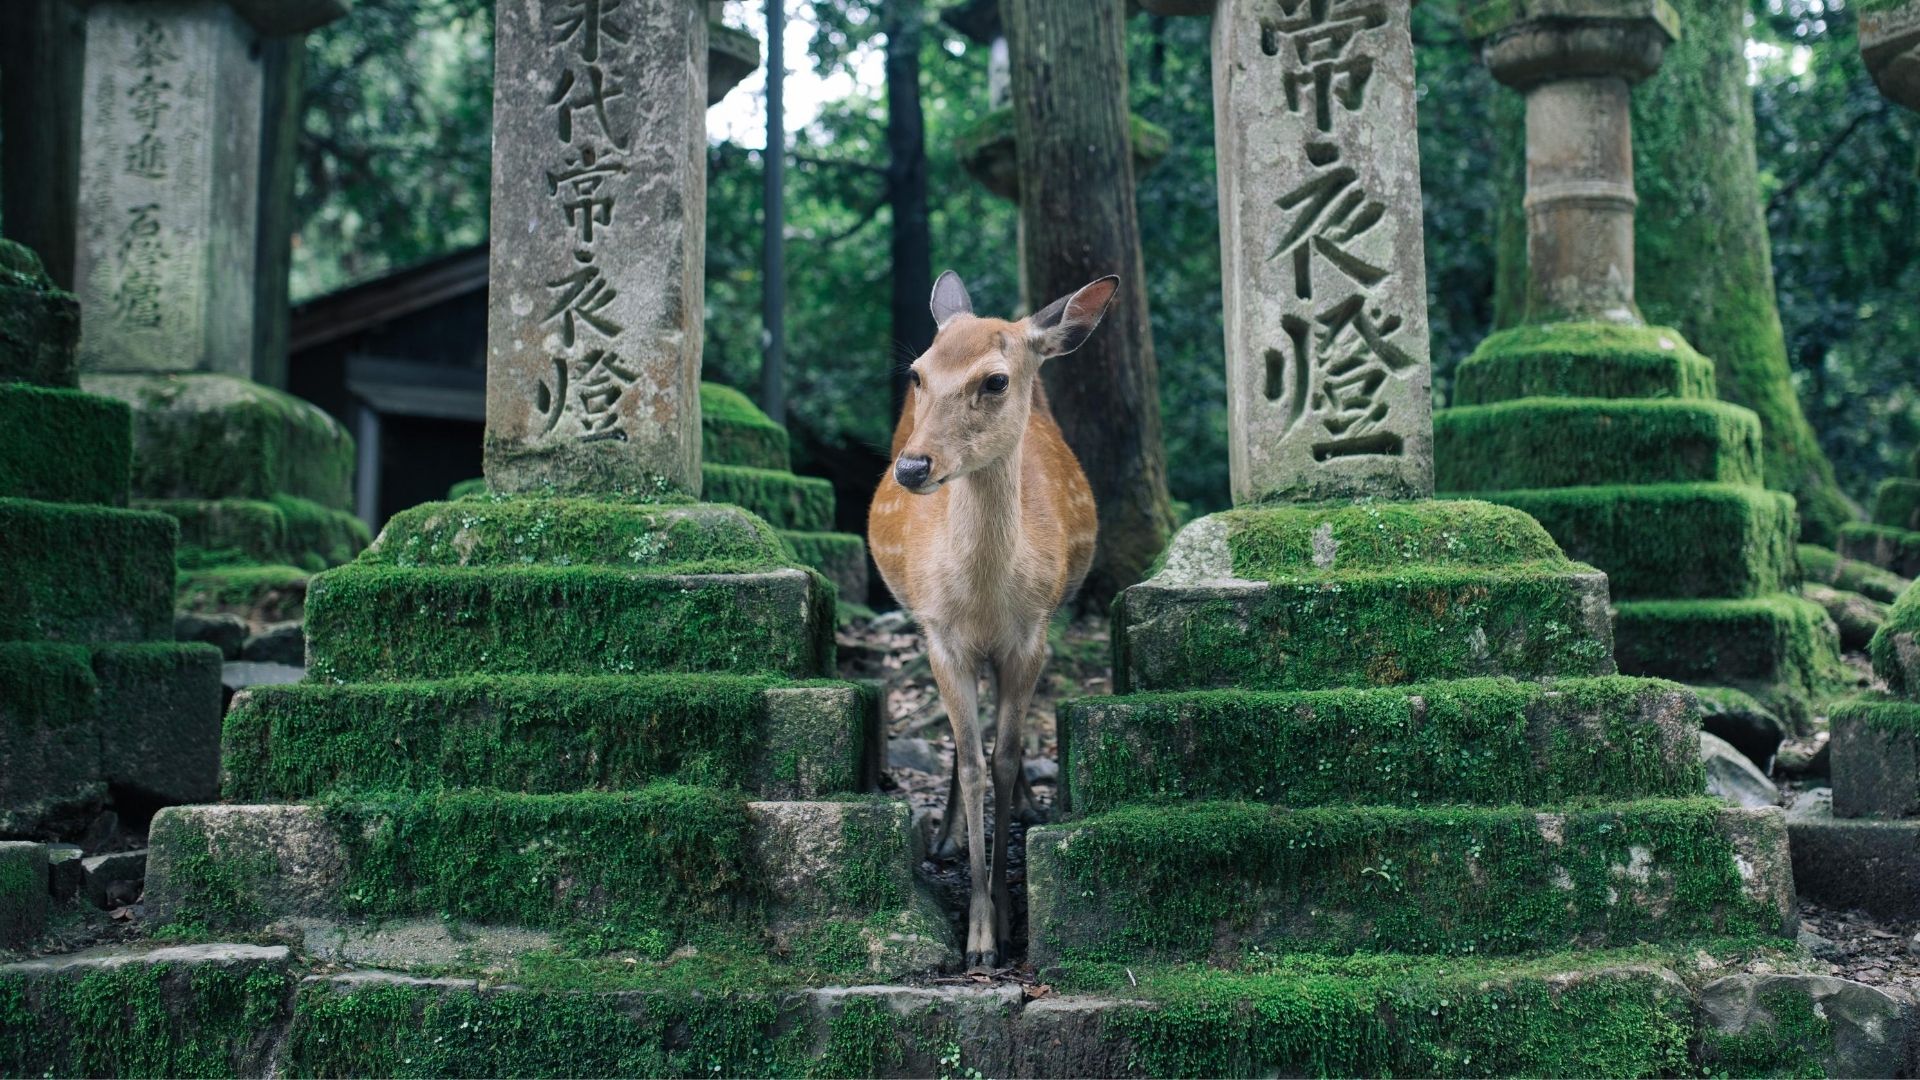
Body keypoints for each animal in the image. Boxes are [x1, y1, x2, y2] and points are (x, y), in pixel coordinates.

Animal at [867, 267, 1121, 968]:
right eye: (918, 373)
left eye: (996, 380)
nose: (912, 467)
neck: (982, 601)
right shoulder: (941, 635)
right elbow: (974, 761)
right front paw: (978, 937)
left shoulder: (1030, 635)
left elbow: (1004, 759)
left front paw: (1007, 923)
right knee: (961, 748)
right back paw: (946, 837)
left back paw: (1031, 808)